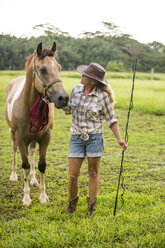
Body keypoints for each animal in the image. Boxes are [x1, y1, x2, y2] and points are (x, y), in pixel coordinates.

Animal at [4, 41, 69, 206]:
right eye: (43, 69)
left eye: (59, 68)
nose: (64, 98)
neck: (28, 104)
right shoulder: (20, 138)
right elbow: (25, 165)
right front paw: (26, 198)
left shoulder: (45, 137)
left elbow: (41, 165)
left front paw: (43, 196)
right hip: (12, 134)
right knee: (14, 150)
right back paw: (14, 176)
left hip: (34, 138)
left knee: (32, 152)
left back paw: (33, 180)